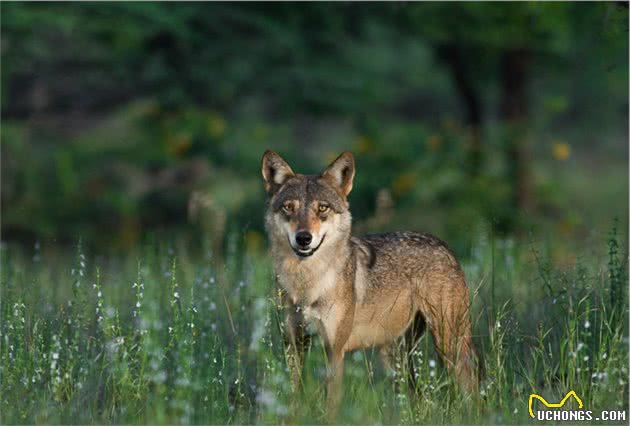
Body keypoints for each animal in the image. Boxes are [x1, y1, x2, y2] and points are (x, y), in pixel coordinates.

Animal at [262, 149, 478, 416]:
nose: (303, 238)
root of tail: (445, 246)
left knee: (472, 386)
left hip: (449, 345)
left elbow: (331, 406)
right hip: (396, 357)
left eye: (322, 208)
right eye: (288, 208)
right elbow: (293, 398)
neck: (306, 285)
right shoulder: (294, 344)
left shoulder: (335, 350)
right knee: (416, 395)